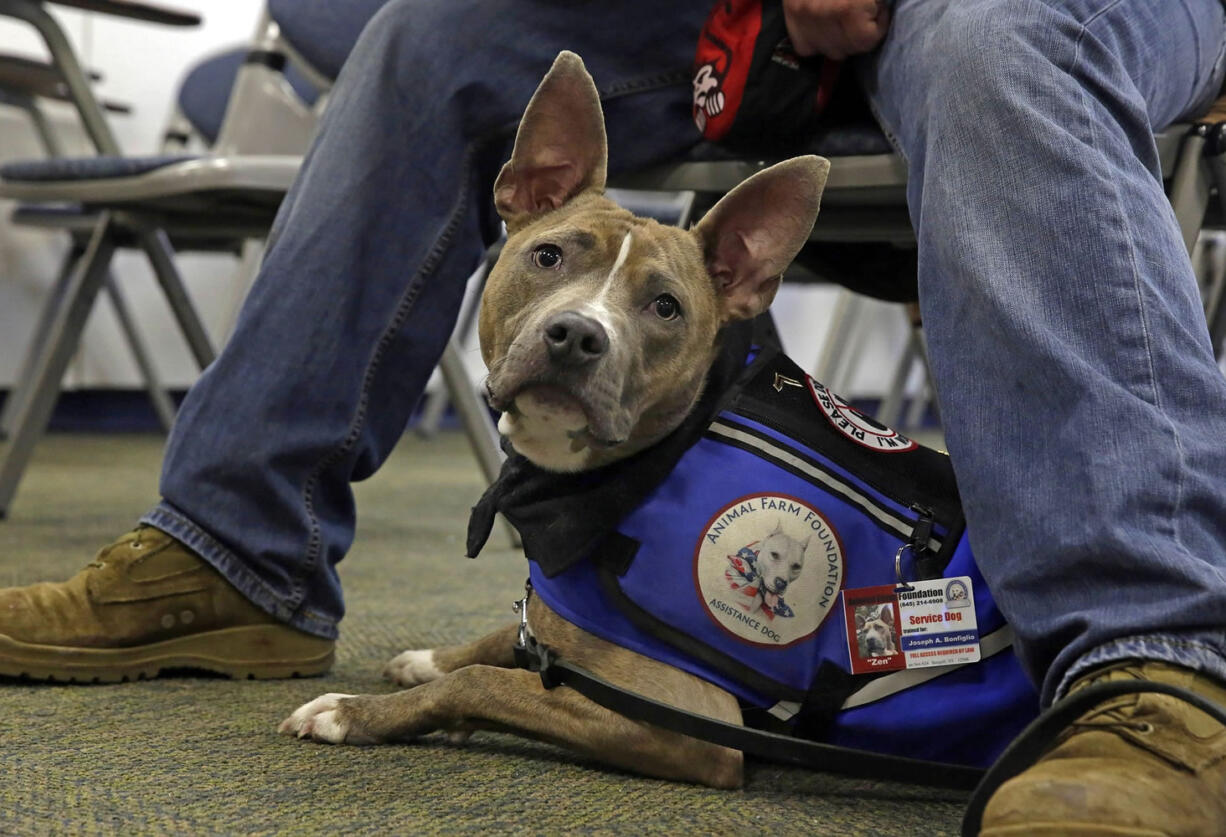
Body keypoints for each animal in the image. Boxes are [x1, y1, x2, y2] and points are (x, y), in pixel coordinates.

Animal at [280, 52, 833, 794]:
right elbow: (501, 640)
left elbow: (483, 683)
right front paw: (429, 659)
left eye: (665, 306)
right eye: (549, 256)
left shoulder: (690, 717)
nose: (576, 335)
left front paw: (354, 710)